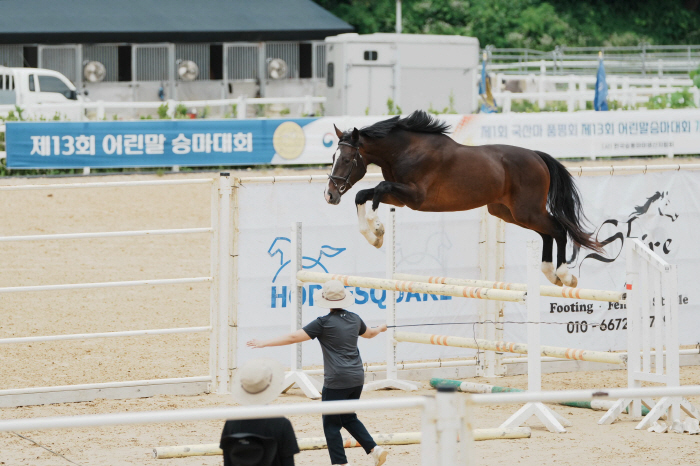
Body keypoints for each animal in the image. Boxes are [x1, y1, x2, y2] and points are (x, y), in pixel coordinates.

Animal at [324, 112, 600, 288]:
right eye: (333, 157)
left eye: (347, 160)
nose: (330, 195)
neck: (404, 151)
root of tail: (537, 156)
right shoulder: (401, 197)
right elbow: (363, 194)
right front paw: (374, 237)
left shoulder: (415, 196)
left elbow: (378, 190)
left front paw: (378, 228)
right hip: (509, 213)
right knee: (547, 232)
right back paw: (550, 274)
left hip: (526, 211)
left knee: (558, 229)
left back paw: (564, 276)